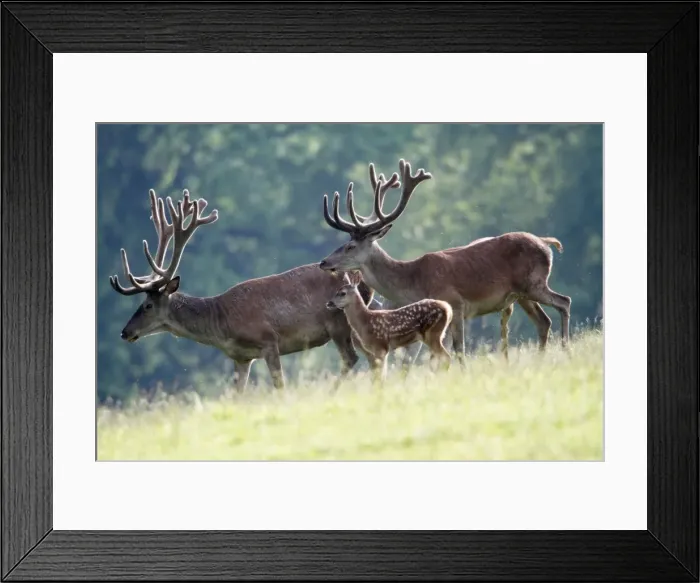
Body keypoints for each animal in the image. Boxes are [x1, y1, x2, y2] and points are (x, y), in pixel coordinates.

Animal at [109, 188, 381, 391]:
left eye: (147, 305)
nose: (125, 332)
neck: (222, 324)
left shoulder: (269, 340)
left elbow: (280, 387)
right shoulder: (240, 357)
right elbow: (236, 395)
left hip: (338, 322)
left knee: (353, 358)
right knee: (371, 355)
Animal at [318, 159, 571, 366]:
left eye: (350, 246)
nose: (323, 262)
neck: (413, 282)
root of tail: (545, 243)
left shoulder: (456, 304)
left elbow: (459, 349)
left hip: (534, 282)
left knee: (564, 302)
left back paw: (565, 349)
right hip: (522, 294)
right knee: (543, 321)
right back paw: (541, 358)